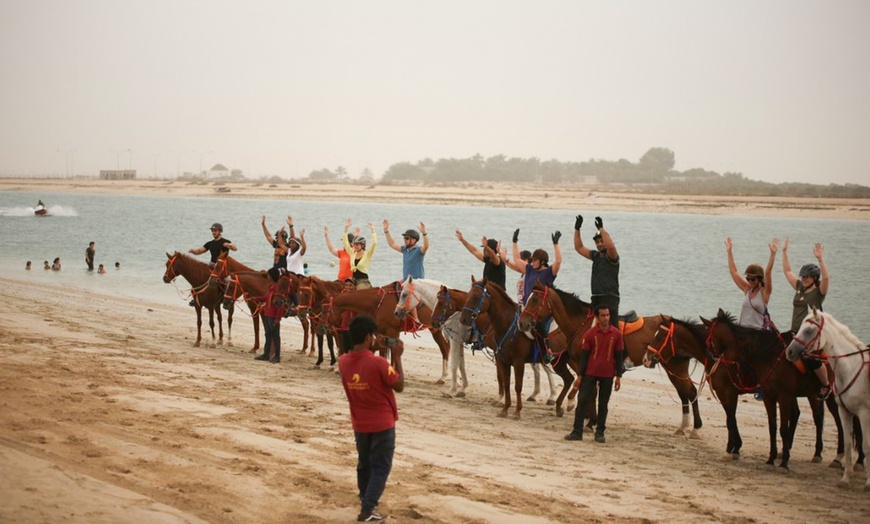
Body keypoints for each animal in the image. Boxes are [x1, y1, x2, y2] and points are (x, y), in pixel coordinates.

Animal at [792, 310, 870, 490]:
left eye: (809, 331)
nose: (789, 351)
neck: (852, 368)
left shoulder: (863, 413)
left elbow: (866, 445)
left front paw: (869, 482)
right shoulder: (845, 411)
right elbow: (848, 443)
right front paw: (845, 479)